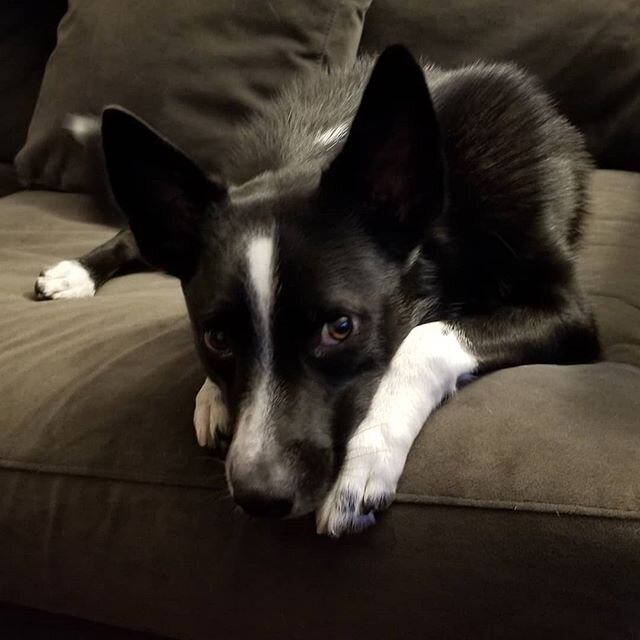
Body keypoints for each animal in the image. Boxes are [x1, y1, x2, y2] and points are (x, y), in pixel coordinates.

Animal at [33, 46, 600, 536]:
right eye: (217, 338)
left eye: (340, 328)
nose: (259, 499)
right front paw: (213, 392)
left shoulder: (570, 315)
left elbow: (423, 339)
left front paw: (367, 458)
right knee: (135, 234)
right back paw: (74, 273)